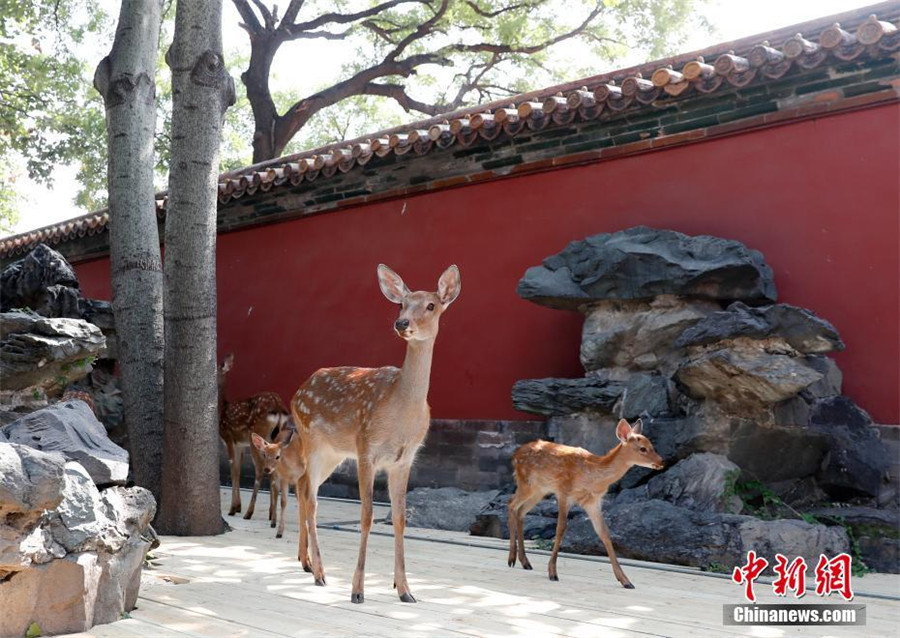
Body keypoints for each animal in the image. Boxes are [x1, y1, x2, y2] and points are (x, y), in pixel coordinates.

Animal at [217, 353, 291, 520]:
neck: (222, 409)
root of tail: (278, 406)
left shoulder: (228, 437)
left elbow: (233, 469)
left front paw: (233, 508)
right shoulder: (240, 443)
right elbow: (238, 469)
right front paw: (237, 506)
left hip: (256, 436)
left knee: (259, 470)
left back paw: (249, 512)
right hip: (274, 437)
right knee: (272, 468)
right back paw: (271, 514)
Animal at [291, 264, 461, 604]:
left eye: (431, 305)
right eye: (400, 304)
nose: (402, 323)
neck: (401, 413)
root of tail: (297, 392)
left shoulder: (404, 459)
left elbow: (400, 518)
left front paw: (405, 589)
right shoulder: (366, 447)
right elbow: (367, 515)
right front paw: (357, 590)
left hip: (332, 453)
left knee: (303, 486)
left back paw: (305, 562)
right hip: (312, 440)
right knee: (311, 498)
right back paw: (320, 572)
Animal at [507, 418, 664, 588]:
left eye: (652, 446)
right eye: (643, 448)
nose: (661, 462)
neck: (592, 475)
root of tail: (515, 454)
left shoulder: (593, 502)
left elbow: (604, 533)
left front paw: (625, 580)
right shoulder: (564, 492)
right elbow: (561, 528)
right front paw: (552, 572)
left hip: (539, 490)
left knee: (520, 511)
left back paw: (525, 562)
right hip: (526, 483)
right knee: (511, 504)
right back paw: (511, 559)